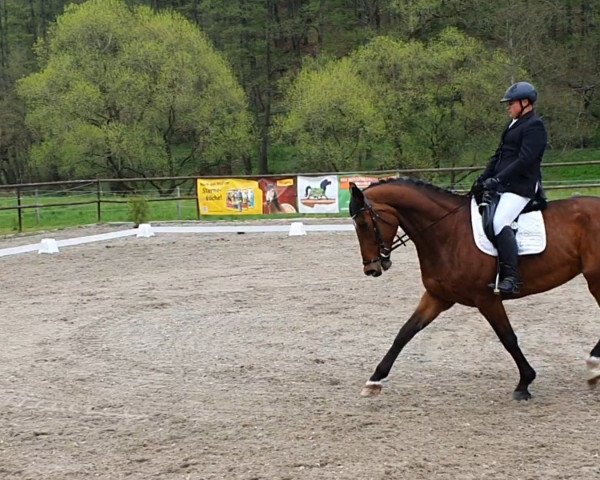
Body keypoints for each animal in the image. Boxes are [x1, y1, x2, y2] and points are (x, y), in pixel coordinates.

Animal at [350, 178, 600, 400]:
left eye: (363, 224)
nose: (371, 269)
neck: (447, 232)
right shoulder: (437, 297)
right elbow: (405, 333)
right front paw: (374, 381)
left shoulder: (486, 299)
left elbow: (508, 338)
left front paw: (524, 382)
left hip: (595, 278)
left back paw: (594, 366)